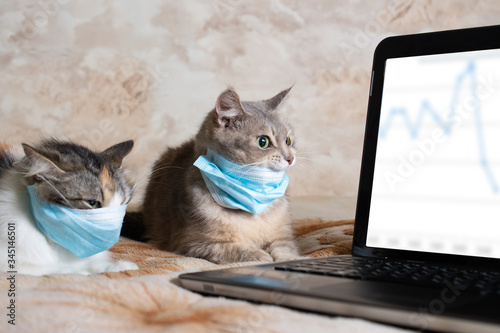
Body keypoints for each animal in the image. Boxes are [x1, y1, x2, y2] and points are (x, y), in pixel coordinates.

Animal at [123, 87, 300, 264]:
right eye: (263, 142)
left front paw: (287, 259)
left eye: (288, 140)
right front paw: (261, 256)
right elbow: (238, 250)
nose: (290, 158)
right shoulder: (196, 243)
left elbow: (285, 250)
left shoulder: (283, 237)